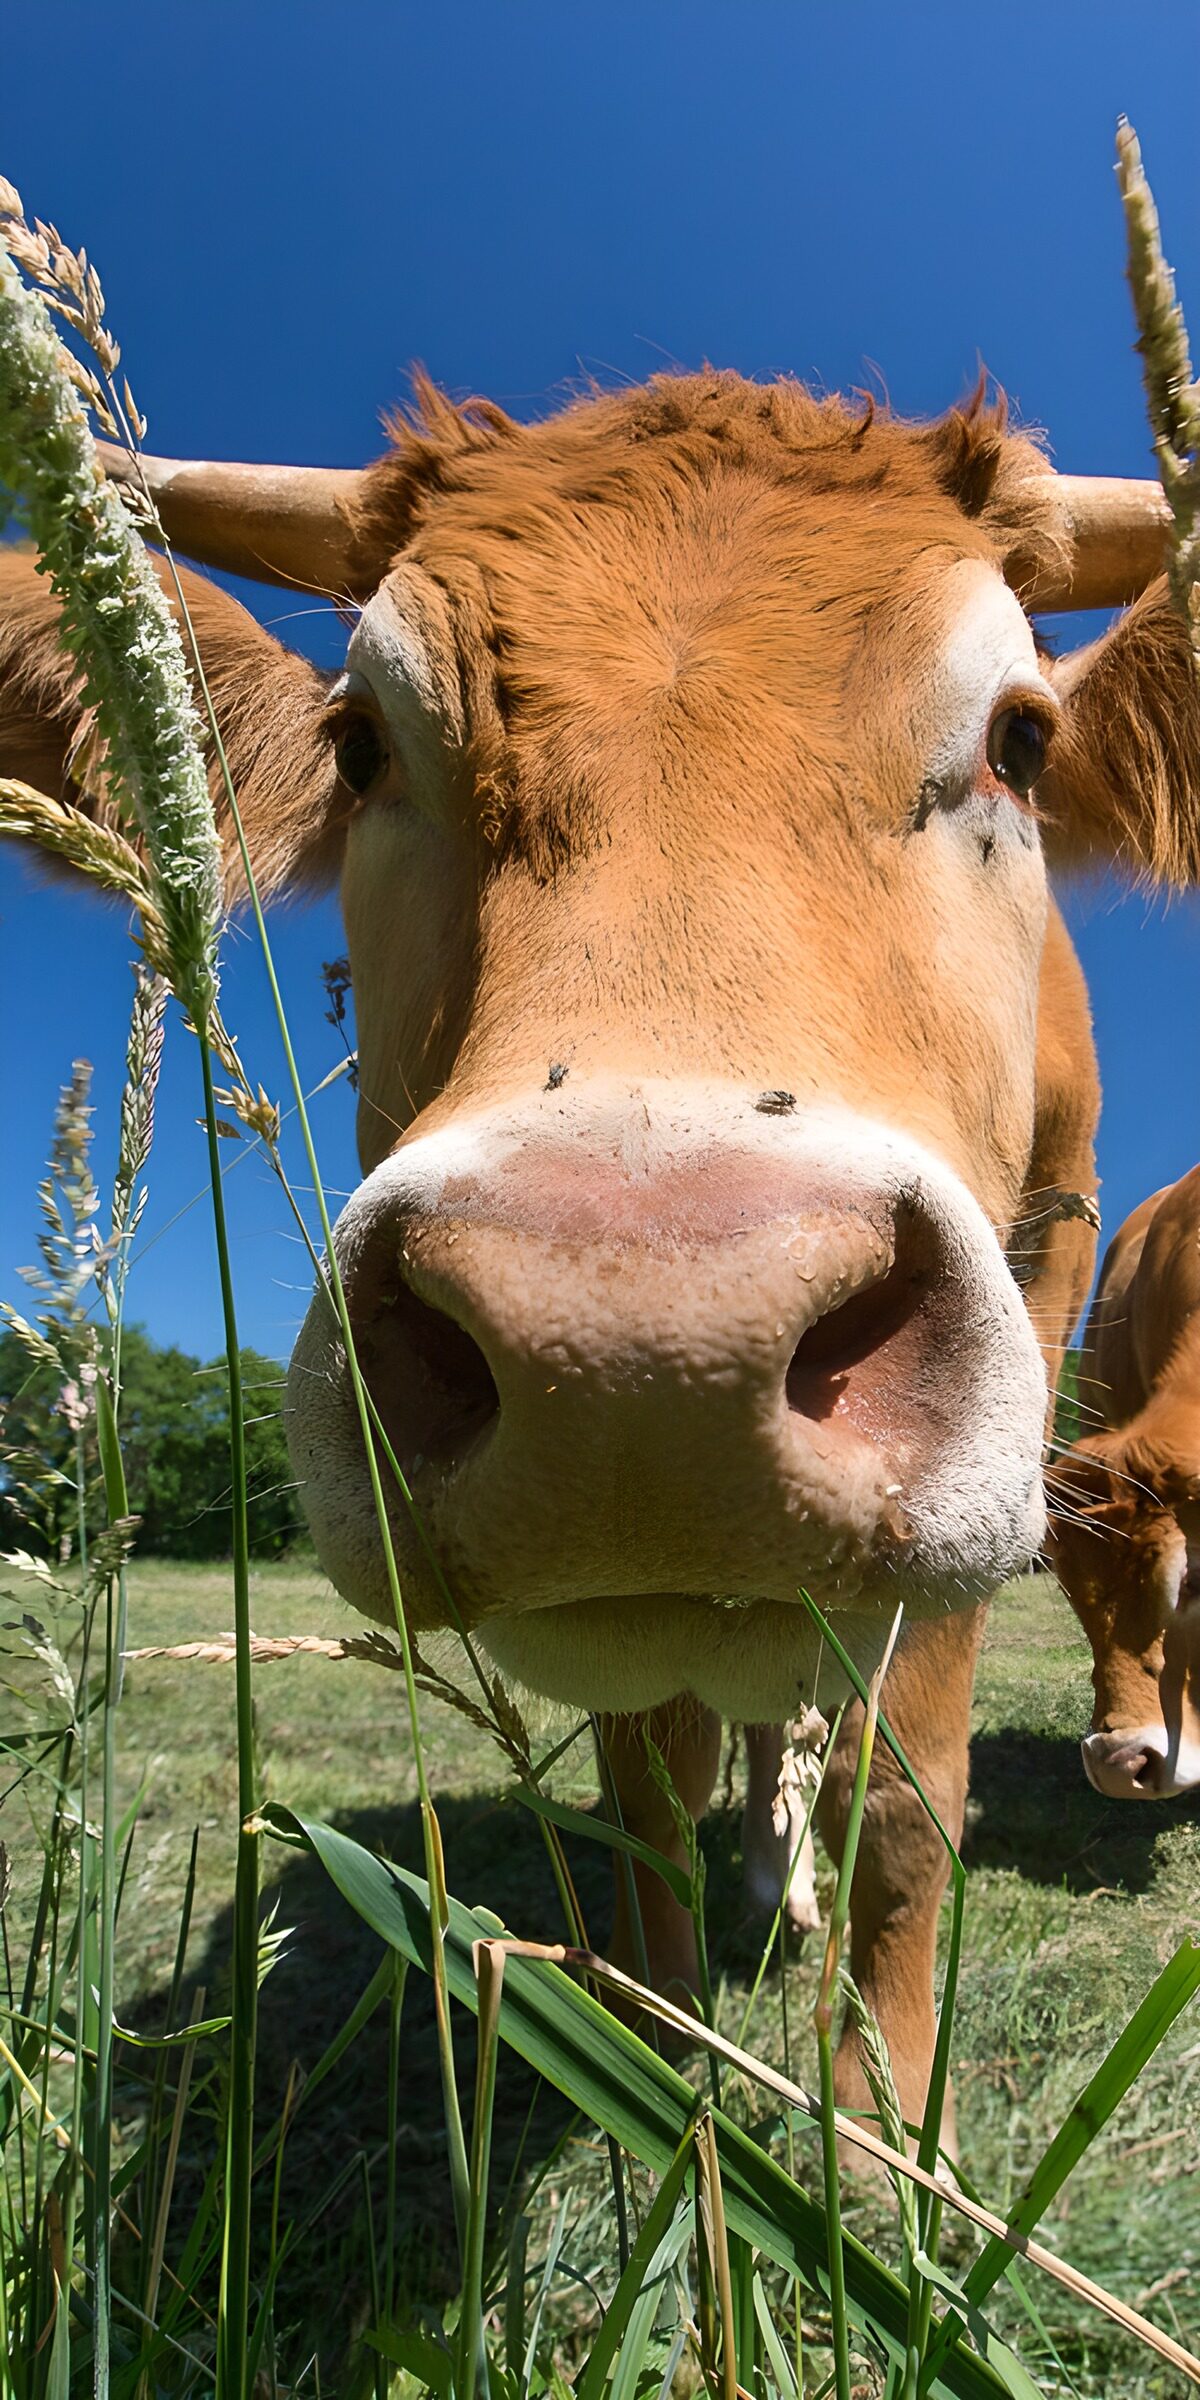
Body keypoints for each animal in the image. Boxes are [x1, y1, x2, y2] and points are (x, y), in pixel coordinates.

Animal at [2, 370, 1195, 2156]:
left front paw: (884, 2135)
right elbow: (645, 1798)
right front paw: (659, 2066)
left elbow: (911, 1801)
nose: (643, 1372)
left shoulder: (1026, 1368)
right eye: (360, 745)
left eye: (1021, 738)